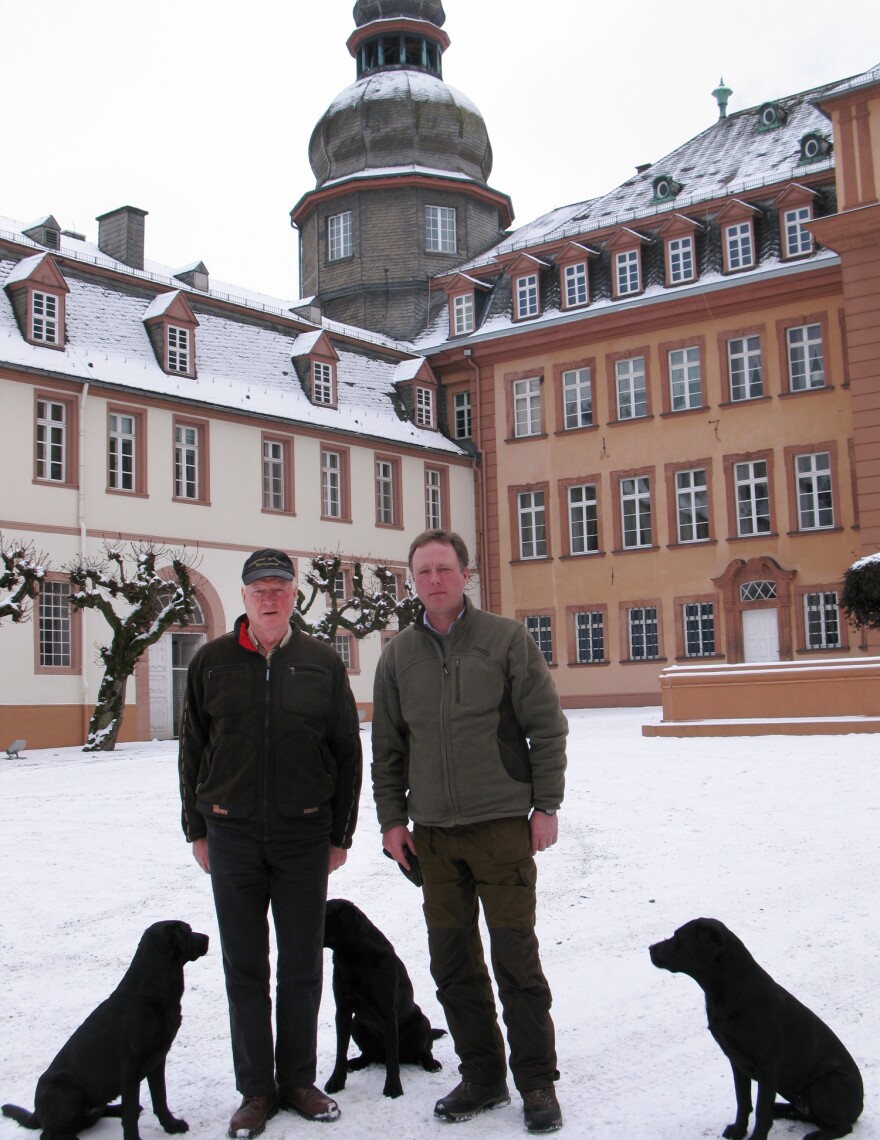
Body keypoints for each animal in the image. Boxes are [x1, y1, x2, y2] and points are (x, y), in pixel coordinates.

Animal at [3, 916, 209, 1140]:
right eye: (188, 930)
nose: (207, 937)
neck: (151, 992)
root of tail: (36, 1114)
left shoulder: (157, 1058)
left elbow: (160, 1098)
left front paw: (171, 1125)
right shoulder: (130, 1065)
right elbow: (131, 1114)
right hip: (69, 1093)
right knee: (49, 1133)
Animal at [323, 898, 446, 1094]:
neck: (352, 958)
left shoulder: (388, 1012)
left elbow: (392, 1057)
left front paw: (393, 1088)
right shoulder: (343, 1010)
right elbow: (340, 1051)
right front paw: (336, 1082)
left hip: (420, 1022)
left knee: (422, 1051)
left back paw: (431, 1063)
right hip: (358, 1023)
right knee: (370, 1054)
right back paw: (356, 1062)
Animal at [647, 916, 861, 1140]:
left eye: (678, 937)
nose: (650, 948)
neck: (731, 987)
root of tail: (860, 1106)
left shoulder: (767, 1065)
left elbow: (761, 1109)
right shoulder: (736, 1061)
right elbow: (743, 1101)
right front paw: (738, 1131)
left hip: (824, 1086)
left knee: (843, 1126)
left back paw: (815, 1134)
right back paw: (780, 1109)